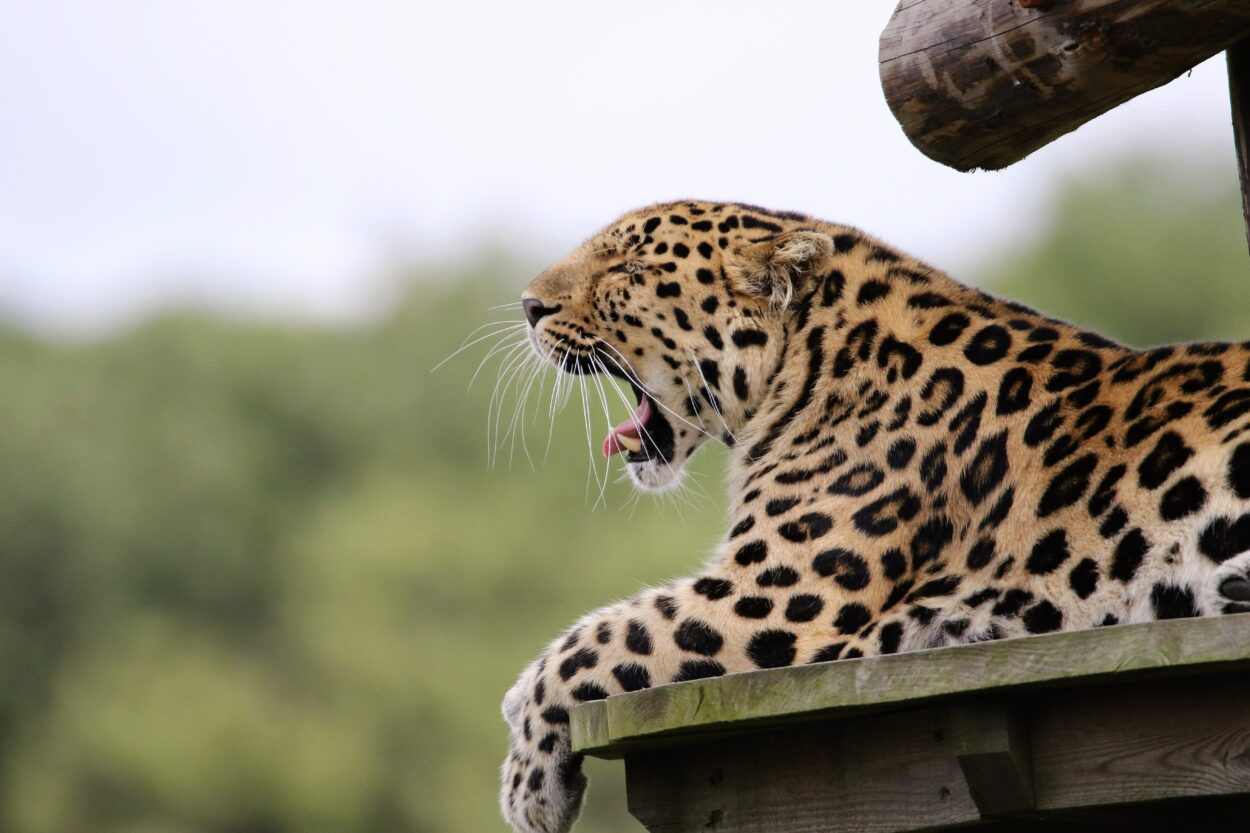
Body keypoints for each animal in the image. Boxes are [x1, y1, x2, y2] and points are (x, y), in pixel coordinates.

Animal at [499, 200, 1250, 833]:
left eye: (628, 270)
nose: (529, 305)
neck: (811, 364)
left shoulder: (774, 597)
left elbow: (598, 638)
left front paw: (526, 782)